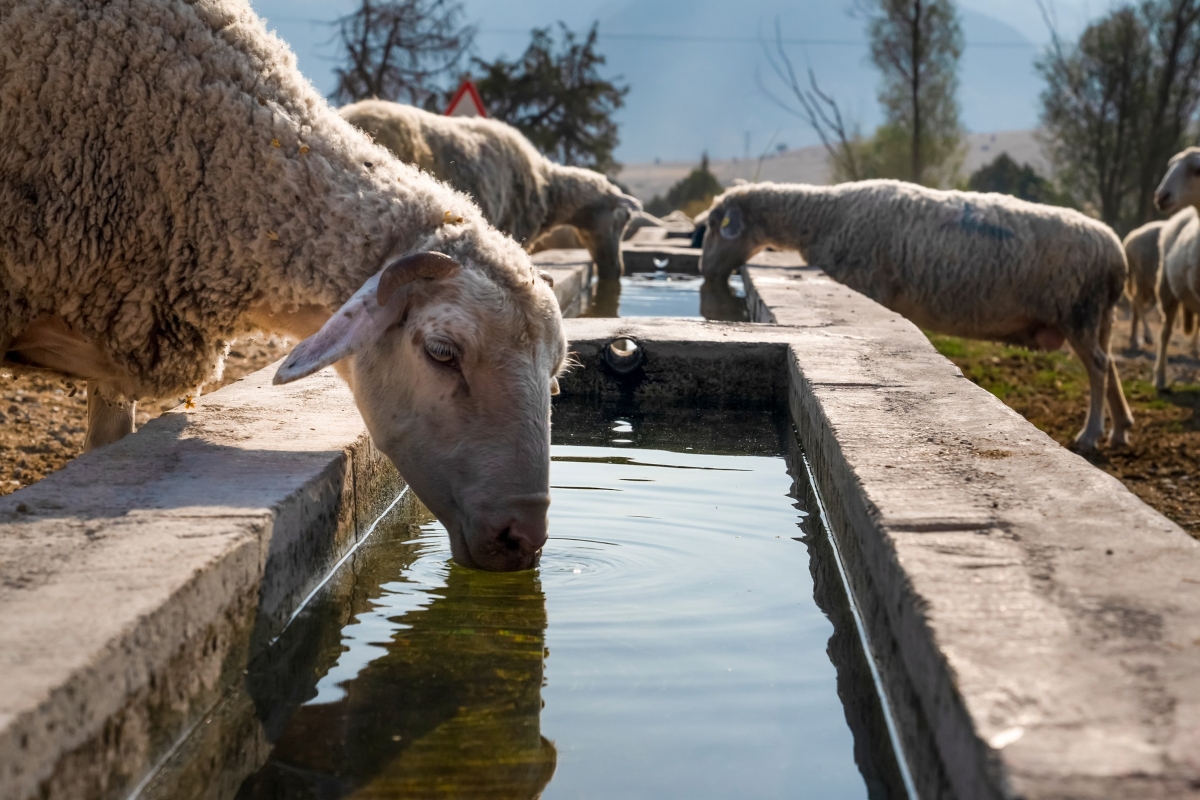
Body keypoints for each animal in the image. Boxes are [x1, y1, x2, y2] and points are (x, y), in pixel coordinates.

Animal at [700, 181, 1128, 450]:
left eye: (716, 227)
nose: (704, 271)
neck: (822, 218)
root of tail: (1114, 249)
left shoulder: (867, 283)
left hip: (1080, 311)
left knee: (1099, 367)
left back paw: (1091, 435)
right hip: (1099, 317)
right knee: (1110, 367)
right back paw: (1120, 430)